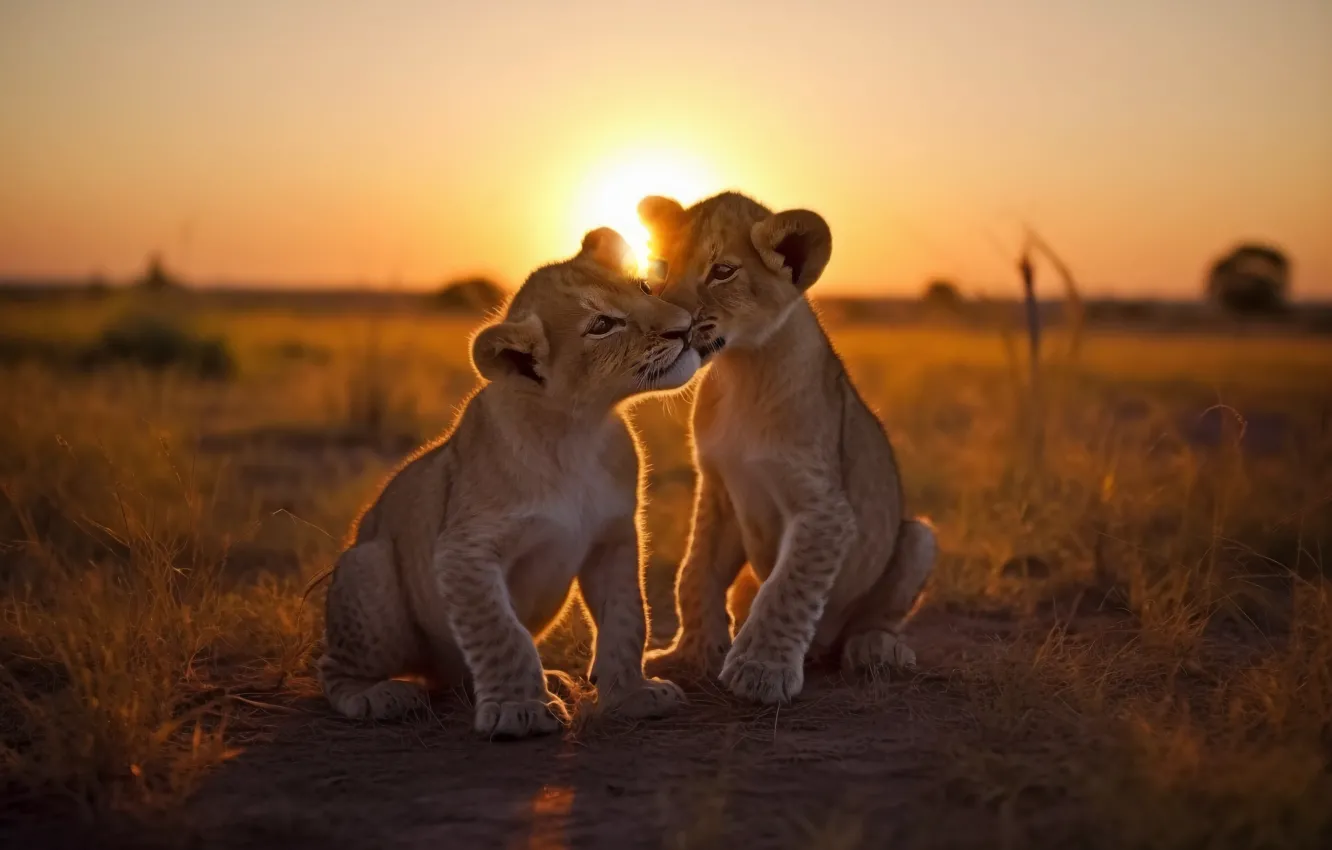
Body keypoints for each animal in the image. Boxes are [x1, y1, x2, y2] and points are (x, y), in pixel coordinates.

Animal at [316, 227, 698, 738]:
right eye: (602, 325)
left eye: (642, 287)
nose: (686, 326)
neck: (577, 431)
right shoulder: (464, 550)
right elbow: (501, 634)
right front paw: (521, 709)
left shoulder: (614, 537)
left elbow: (627, 618)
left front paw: (633, 696)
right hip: (369, 565)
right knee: (334, 668)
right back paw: (379, 695)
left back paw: (554, 678)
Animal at [638, 191, 935, 705]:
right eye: (661, 266)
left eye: (722, 271)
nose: (669, 324)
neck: (740, 369)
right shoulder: (718, 488)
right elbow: (693, 573)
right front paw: (691, 655)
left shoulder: (825, 510)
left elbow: (787, 588)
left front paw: (760, 670)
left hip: (919, 538)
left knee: (874, 619)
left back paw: (875, 648)